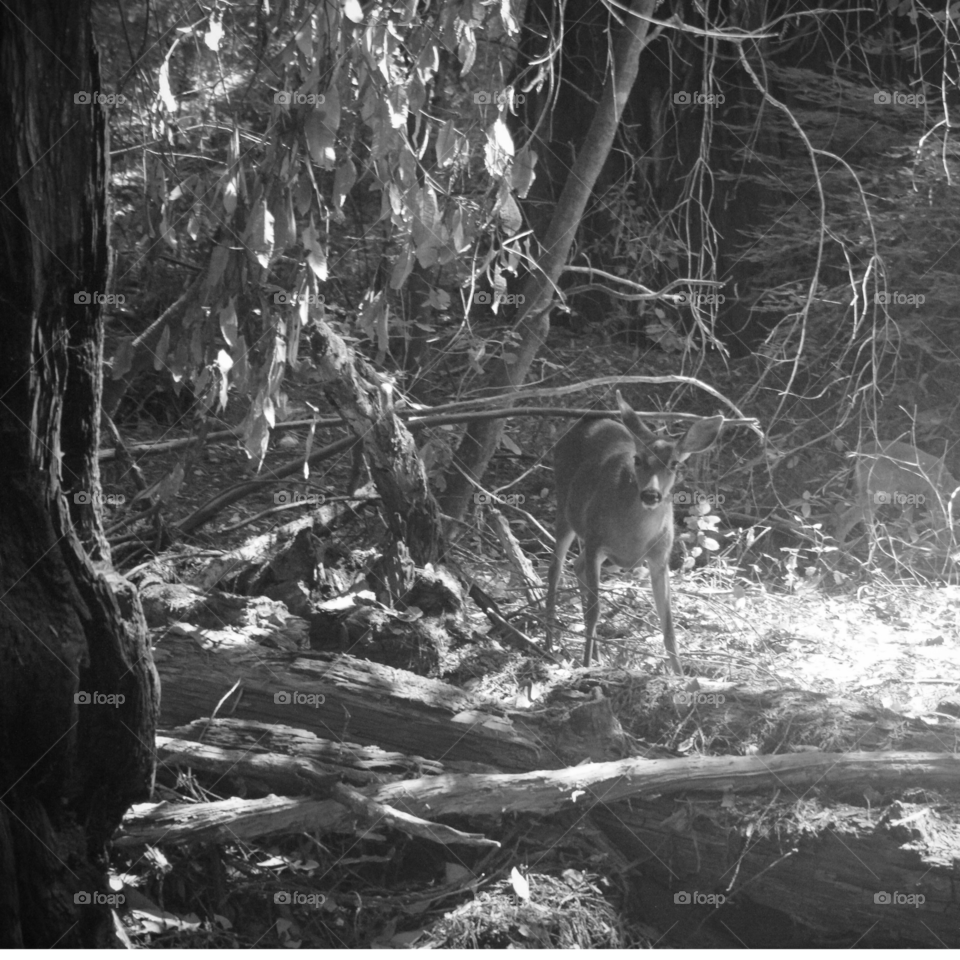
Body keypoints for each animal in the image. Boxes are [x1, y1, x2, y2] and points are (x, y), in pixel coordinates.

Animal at [544, 390, 724, 668]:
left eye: (674, 464)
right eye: (638, 460)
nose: (651, 494)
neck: (634, 537)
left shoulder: (660, 556)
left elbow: (668, 625)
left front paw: (680, 674)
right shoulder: (596, 541)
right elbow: (595, 610)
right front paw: (585, 667)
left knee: (577, 565)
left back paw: (595, 654)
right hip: (565, 506)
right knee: (554, 570)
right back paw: (549, 643)